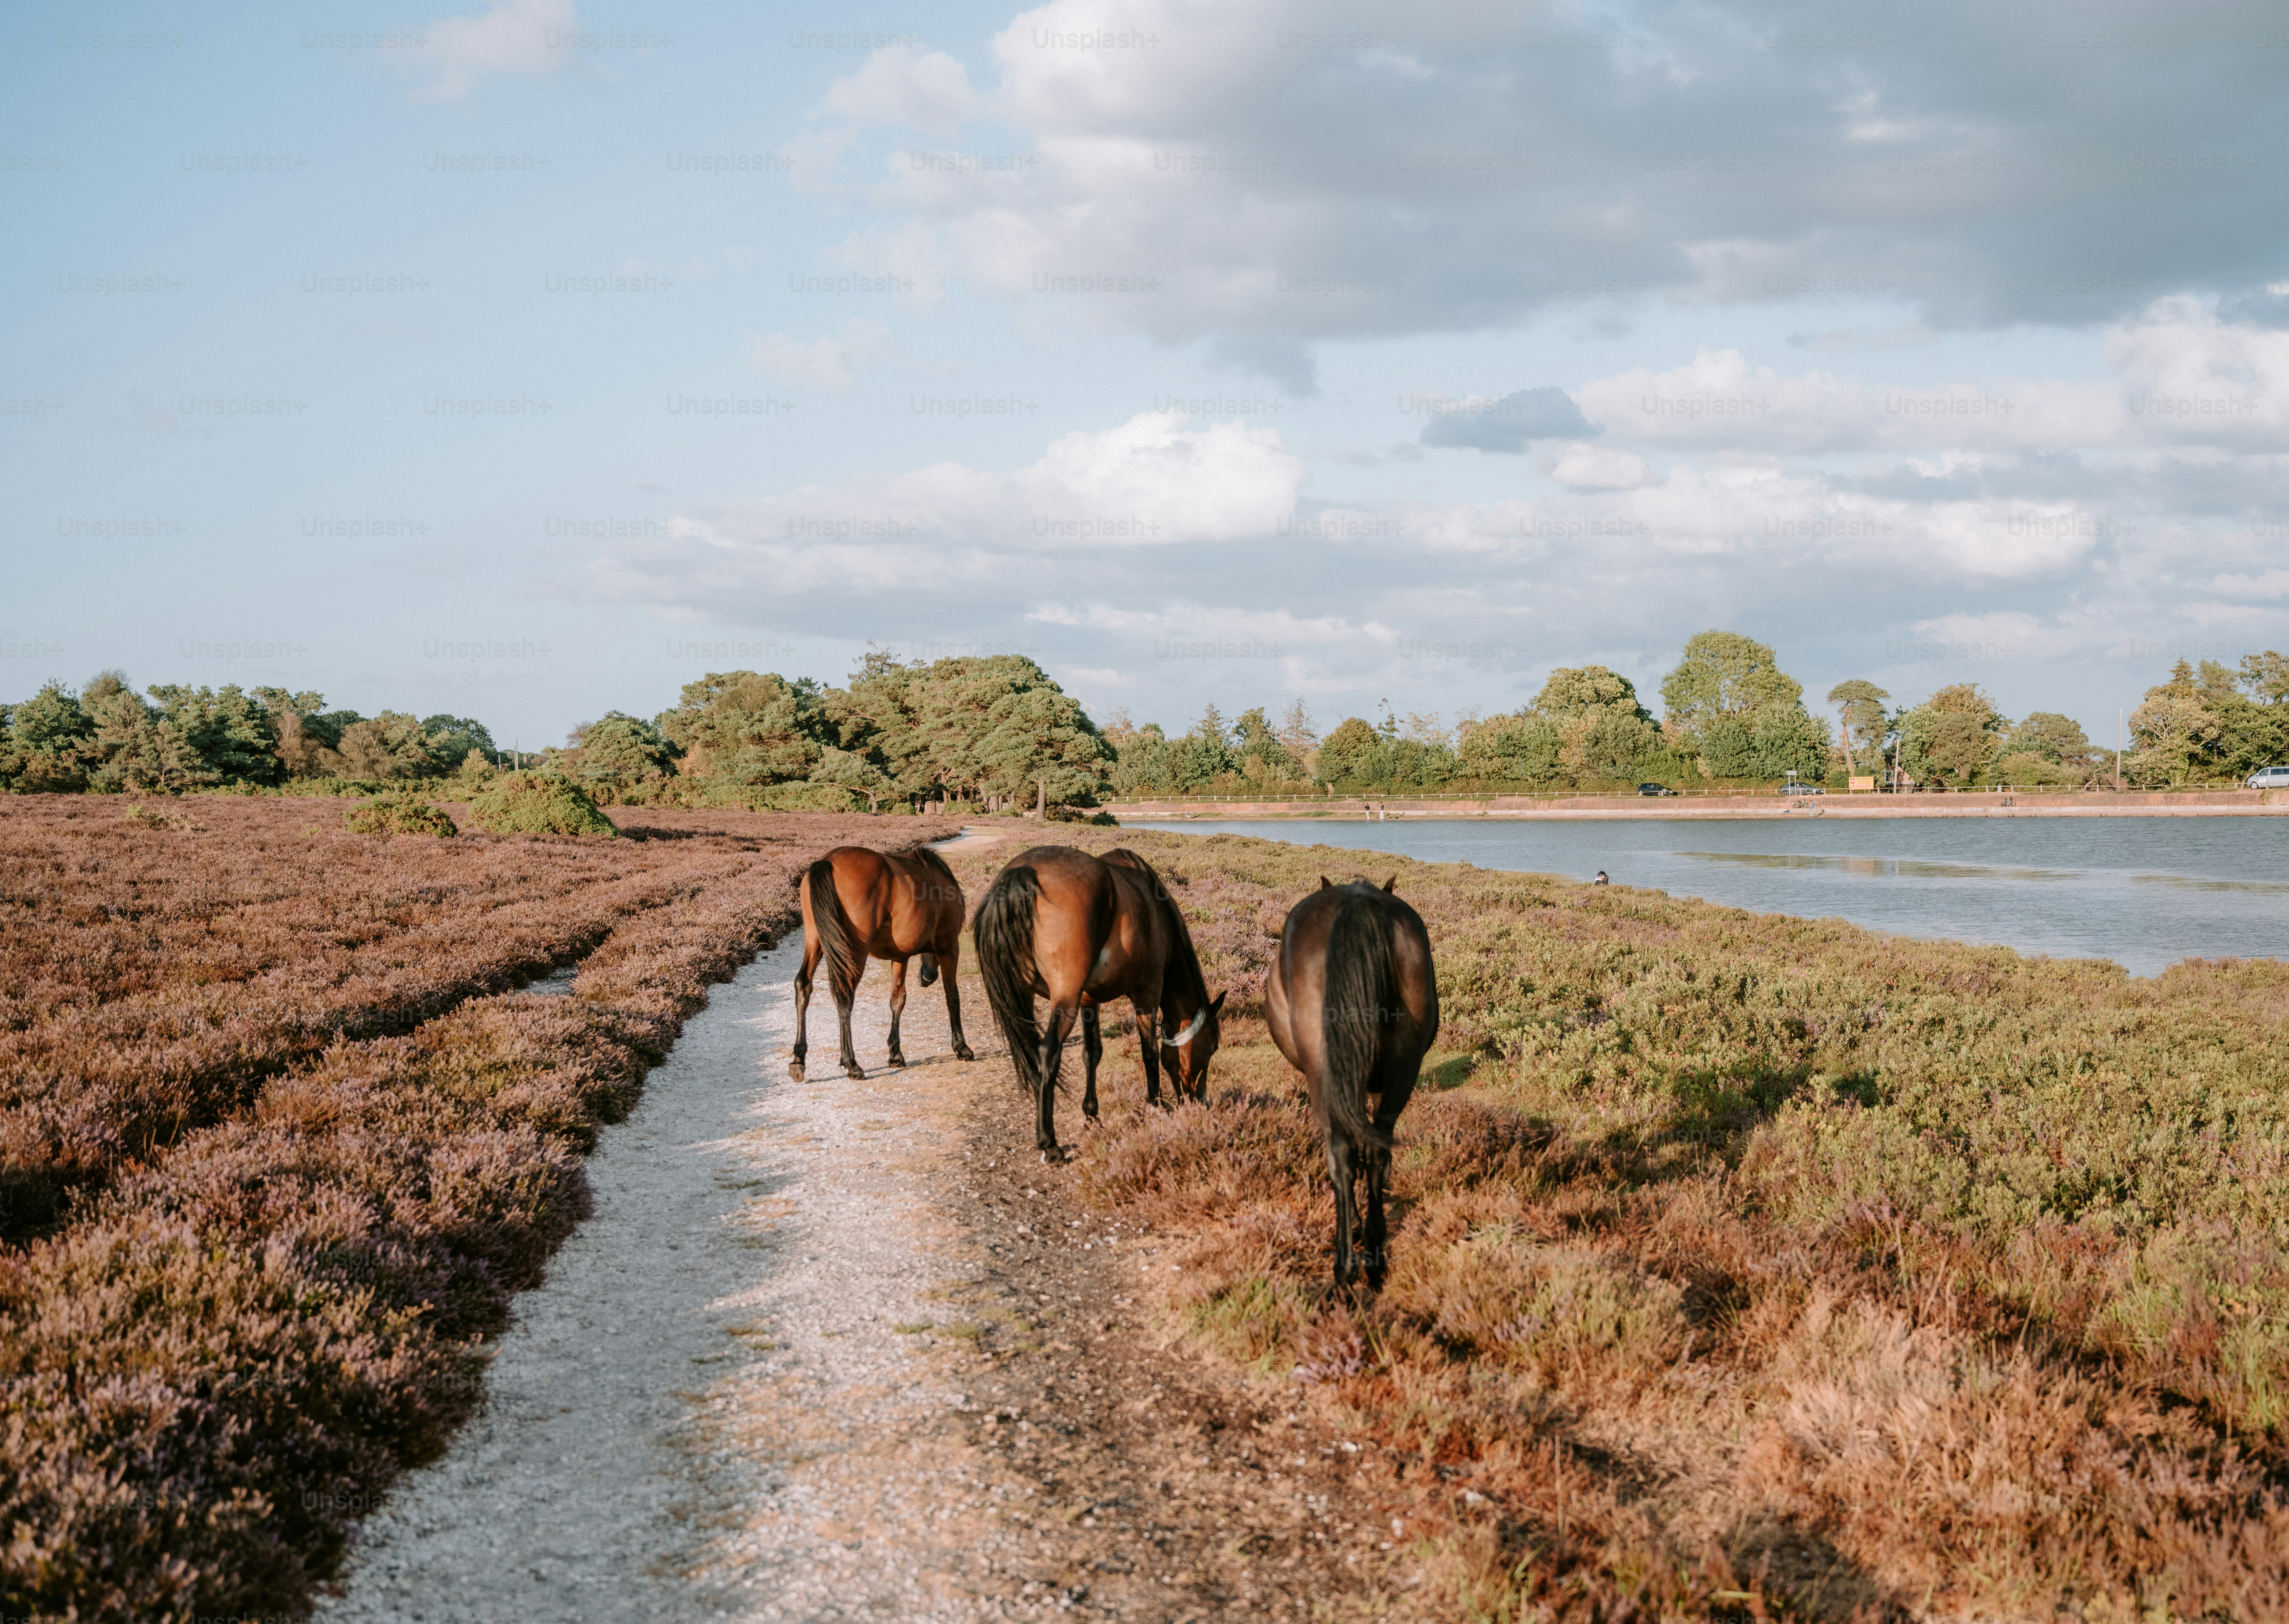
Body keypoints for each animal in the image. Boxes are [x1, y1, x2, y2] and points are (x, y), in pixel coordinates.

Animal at [789, 844, 976, 1082]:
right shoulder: (949, 948)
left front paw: (896, 1054)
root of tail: (828, 861)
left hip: (815, 941)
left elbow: (898, 1000)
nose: (927, 976)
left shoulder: (900, 957)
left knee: (803, 986)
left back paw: (798, 1061)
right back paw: (852, 1063)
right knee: (845, 995)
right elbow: (952, 997)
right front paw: (962, 1047)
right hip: (855, 953)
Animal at [972, 845, 1225, 1160]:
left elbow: (1092, 1054)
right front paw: (1155, 1104)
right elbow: (1150, 1052)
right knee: (1047, 1052)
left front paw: (1092, 1115)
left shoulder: (1089, 1002)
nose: (1201, 1102)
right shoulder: (1147, 994)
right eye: (1213, 1047)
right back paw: (1050, 1143)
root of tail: (1023, 872)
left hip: (1027, 993)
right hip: (1065, 998)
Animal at [1263, 875, 1439, 1289]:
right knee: (1378, 1152)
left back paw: (1345, 1268)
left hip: (1323, 1076)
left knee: (1341, 1155)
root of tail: (1358, 902)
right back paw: (1375, 1259)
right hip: (1402, 1070)